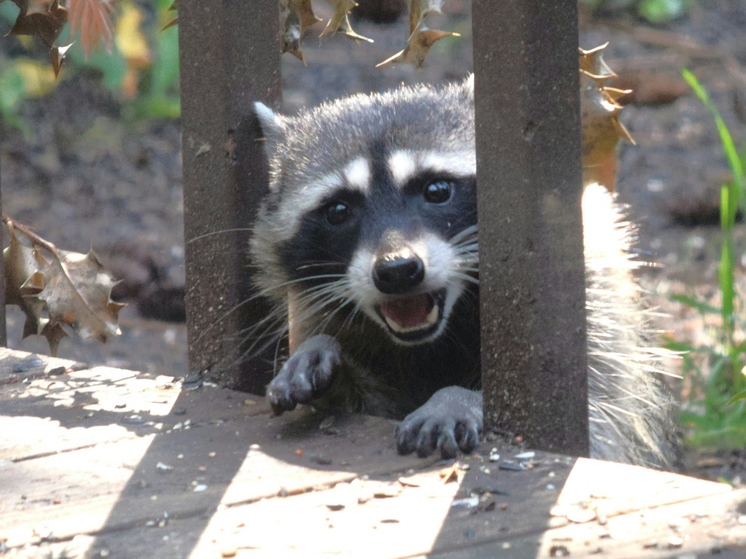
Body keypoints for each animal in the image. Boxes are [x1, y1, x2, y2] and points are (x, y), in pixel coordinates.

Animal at [251, 74, 680, 468]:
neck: (432, 340)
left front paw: (458, 398)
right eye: (338, 211)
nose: (398, 270)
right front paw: (325, 358)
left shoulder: (595, 299)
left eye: (437, 190)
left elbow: (593, 413)